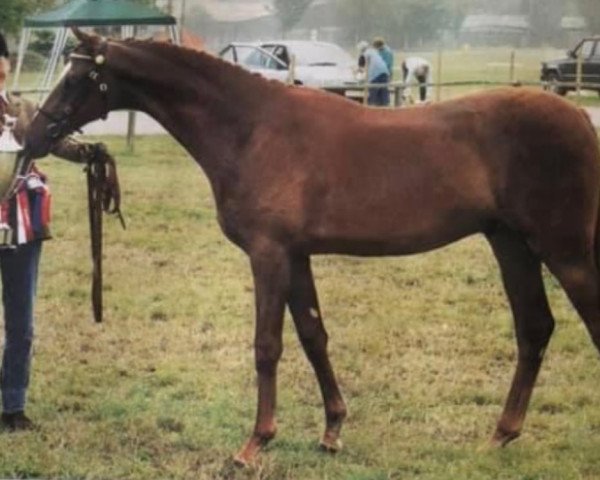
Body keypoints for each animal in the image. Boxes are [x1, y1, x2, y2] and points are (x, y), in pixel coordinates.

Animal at [25, 31, 600, 464]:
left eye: (77, 77)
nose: (33, 135)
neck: (251, 128)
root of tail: (581, 118)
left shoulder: (269, 254)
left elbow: (268, 345)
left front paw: (255, 443)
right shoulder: (295, 255)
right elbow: (313, 335)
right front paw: (332, 430)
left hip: (565, 252)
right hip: (511, 244)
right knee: (534, 328)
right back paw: (502, 432)